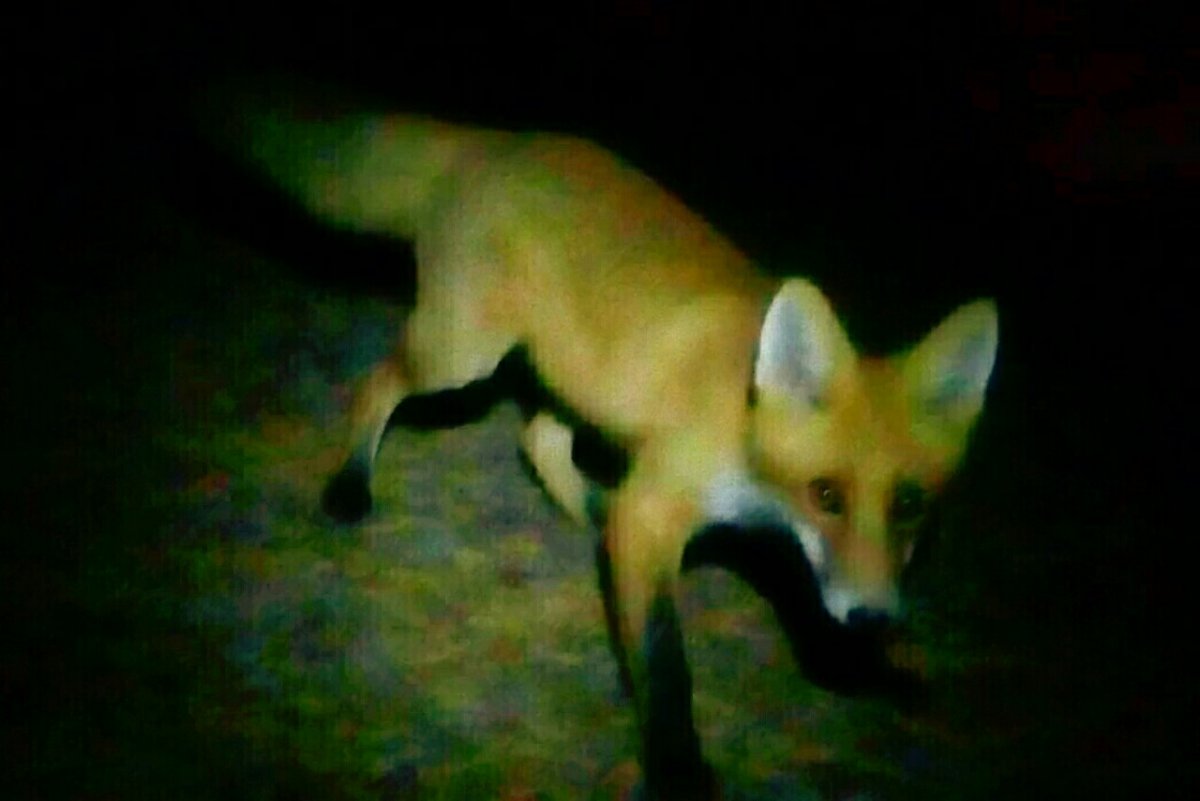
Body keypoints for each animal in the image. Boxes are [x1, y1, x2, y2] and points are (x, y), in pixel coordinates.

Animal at [201, 79, 998, 800]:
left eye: (909, 506)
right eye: (826, 494)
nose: (872, 616)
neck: (742, 415)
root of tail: (499, 139)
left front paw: (890, 668)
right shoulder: (653, 515)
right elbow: (665, 663)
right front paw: (677, 769)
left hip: (574, 376)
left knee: (536, 438)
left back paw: (585, 509)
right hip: (462, 358)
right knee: (378, 386)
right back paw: (349, 483)